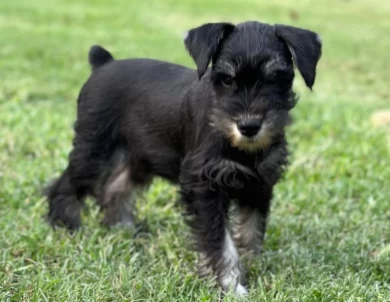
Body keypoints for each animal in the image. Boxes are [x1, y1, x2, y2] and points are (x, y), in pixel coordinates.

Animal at [45, 20, 322, 294]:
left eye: (275, 78)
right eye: (227, 79)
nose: (249, 126)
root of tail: (103, 63)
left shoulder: (259, 185)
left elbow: (250, 230)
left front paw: (252, 265)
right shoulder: (205, 185)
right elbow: (219, 240)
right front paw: (230, 285)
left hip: (139, 156)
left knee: (116, 187)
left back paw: (123, 228)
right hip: (93, 149)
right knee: (65, 185)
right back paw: (65, 226)